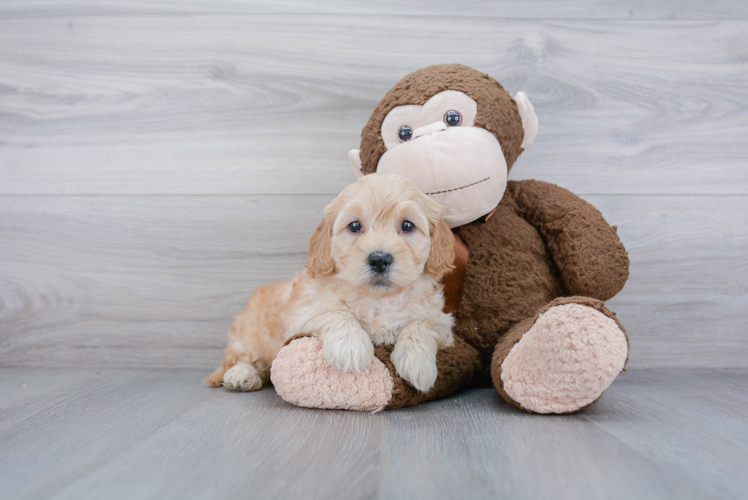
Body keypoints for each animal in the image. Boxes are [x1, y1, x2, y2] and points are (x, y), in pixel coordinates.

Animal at [207, 174, 458, 392]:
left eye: (407, 226)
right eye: (354, 226)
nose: (379, 259)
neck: (378, 300)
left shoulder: (442, 322)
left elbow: (422, 323)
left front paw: (417, 363)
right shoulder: (302, 314)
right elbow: (334, 311)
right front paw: (351, 347)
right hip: (249, 335)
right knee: (241, 360)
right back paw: (241, 375)